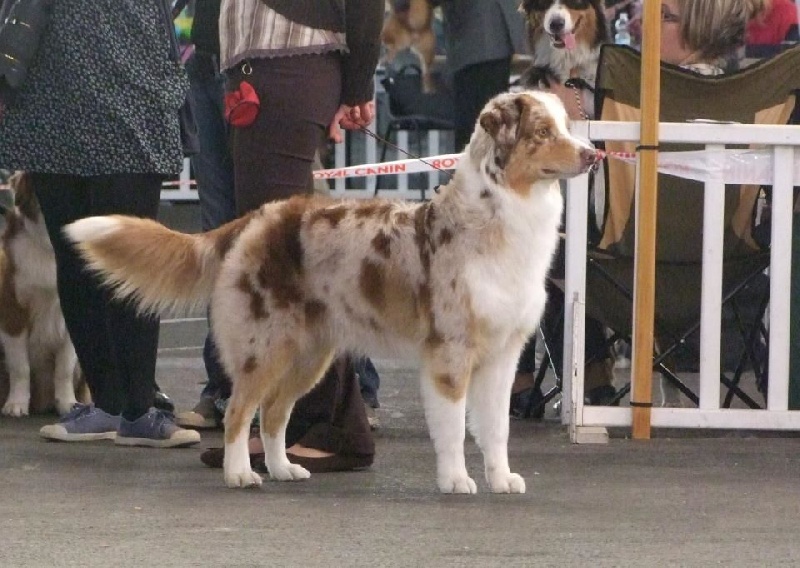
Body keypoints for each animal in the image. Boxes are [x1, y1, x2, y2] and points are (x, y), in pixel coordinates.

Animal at [64, 90, 598, 493]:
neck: (502, 213)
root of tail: (257, 218)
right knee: (240, 410)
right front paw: (455, 480)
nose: (592, 154)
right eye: (542, 132)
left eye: (565, 126)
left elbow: (496, 428)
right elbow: (451, 427)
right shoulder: (450, 350)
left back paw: (283, 468)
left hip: (309, 354)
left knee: (274, 413)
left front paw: (501, 479)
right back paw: (239, 474)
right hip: (265, 344)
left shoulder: (503, 353)